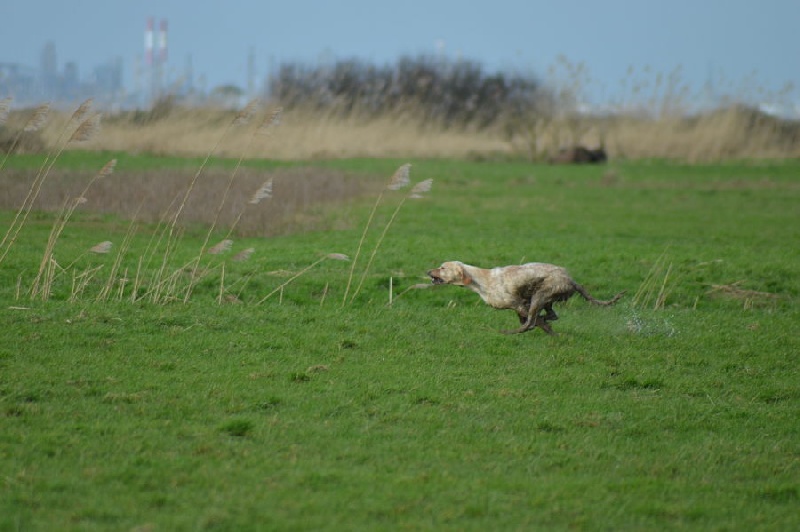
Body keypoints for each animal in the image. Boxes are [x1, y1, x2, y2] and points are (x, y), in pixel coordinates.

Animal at [424, 260, 624, 334]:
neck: (481, 280)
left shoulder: (519, 304)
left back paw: (511, 332)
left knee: (532, 322)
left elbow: (531, 321)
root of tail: (571, 280)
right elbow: (531, 319)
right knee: (550, 315)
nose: (427, 271)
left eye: (442, 267)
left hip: (540, 295)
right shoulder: (520, 306)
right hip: (543, 298)